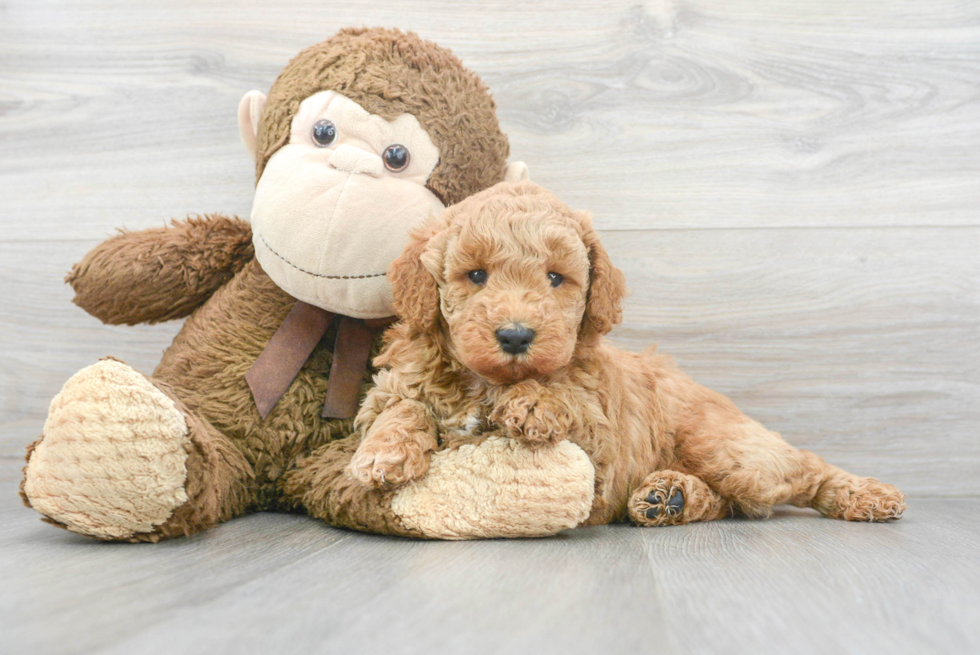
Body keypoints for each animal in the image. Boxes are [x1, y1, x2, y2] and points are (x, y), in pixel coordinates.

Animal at [348, 181, 908, 528]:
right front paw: (382, 453)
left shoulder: (602, 448)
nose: (515, 336)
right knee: (734, 503)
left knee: (799, 469)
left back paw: (866, 495)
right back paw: (670, 498)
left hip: (723, 445)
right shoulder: (394, 385)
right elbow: (402, 406)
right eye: (476, 275)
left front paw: (536, 400)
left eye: (556, 278)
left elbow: (566, 395)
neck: (487, 382)